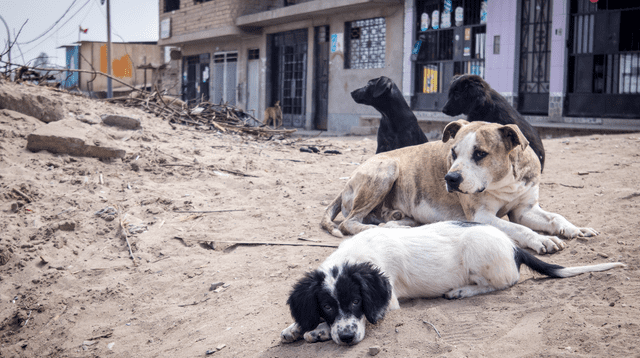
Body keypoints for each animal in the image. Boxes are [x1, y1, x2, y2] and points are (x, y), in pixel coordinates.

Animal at [282, 222, 624, 346]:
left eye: (356, 301)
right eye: (327, 305)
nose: (347, 338)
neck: (355, 255)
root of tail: (513, 246)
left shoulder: (388, 300)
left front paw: (318, 331)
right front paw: (296, 327)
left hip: (478, 252)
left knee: (506, 281)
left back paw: (461, 290)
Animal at [322, 120, 596, 255]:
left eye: (480, 154)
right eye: (452, 152)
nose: (451, 178)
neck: (503, 182)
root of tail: (347, 183)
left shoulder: (525, 209)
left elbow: (554, 217)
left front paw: (575, 228)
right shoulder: (482, 216)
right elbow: (519, 228)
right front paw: (542, 239)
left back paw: (396, 222)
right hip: (387, 168)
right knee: (349, 222)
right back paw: (377, 228)